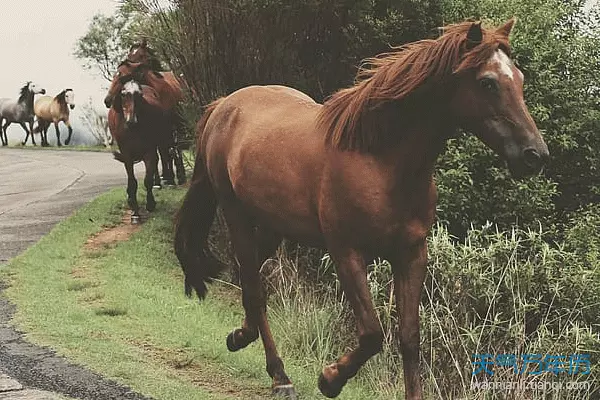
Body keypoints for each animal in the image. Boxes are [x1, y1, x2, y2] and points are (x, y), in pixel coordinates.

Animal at [108, 78, 171, 222]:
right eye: (123, 94)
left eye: (140, 95)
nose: (131, 121)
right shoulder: (127, 155)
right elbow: (132, 183)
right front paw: (135, 213)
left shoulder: (149, 151)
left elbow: (147, 180)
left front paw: (150, 203)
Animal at [172, 19, 548, 400]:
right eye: (488, 82)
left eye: (519, 78)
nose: (535, 155)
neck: (380, 162)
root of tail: (225, 105)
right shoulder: (347, 252)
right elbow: (371, 334)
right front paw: (330, 379)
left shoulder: (411, 254)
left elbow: (409, 338)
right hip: (237, 215)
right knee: (253, 287)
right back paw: (280, 376)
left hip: (273, 226)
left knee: (247, 279)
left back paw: (240, 337)